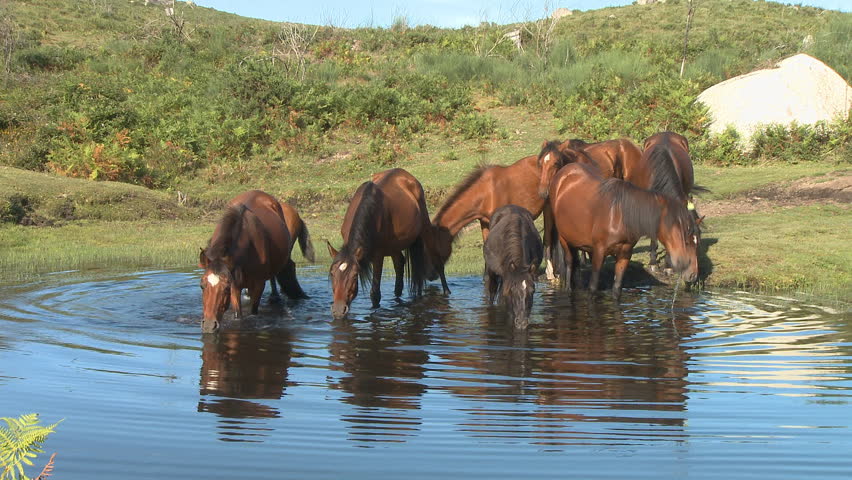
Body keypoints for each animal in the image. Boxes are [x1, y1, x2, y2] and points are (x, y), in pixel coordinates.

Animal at [197, 189, 292, 332]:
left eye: (226, 287)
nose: (209, 325)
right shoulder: (235, 286)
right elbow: (238, 313)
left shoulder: (258, 285)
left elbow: (254, 310)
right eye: (202, 285)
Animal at [324, 169, 436, 318]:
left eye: (354, 276)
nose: (338, 310)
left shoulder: (378, 256)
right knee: (399, 265)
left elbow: (375, 293)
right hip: (395, 247)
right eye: (332, 274)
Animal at [544, 163, 700, 296]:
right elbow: (593, 288)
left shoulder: (624, 254)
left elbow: (617, 287)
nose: (693, 275)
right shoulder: (599, 252)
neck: (620, 215)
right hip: (564, 239)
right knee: (569, 264)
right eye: (685, 239)